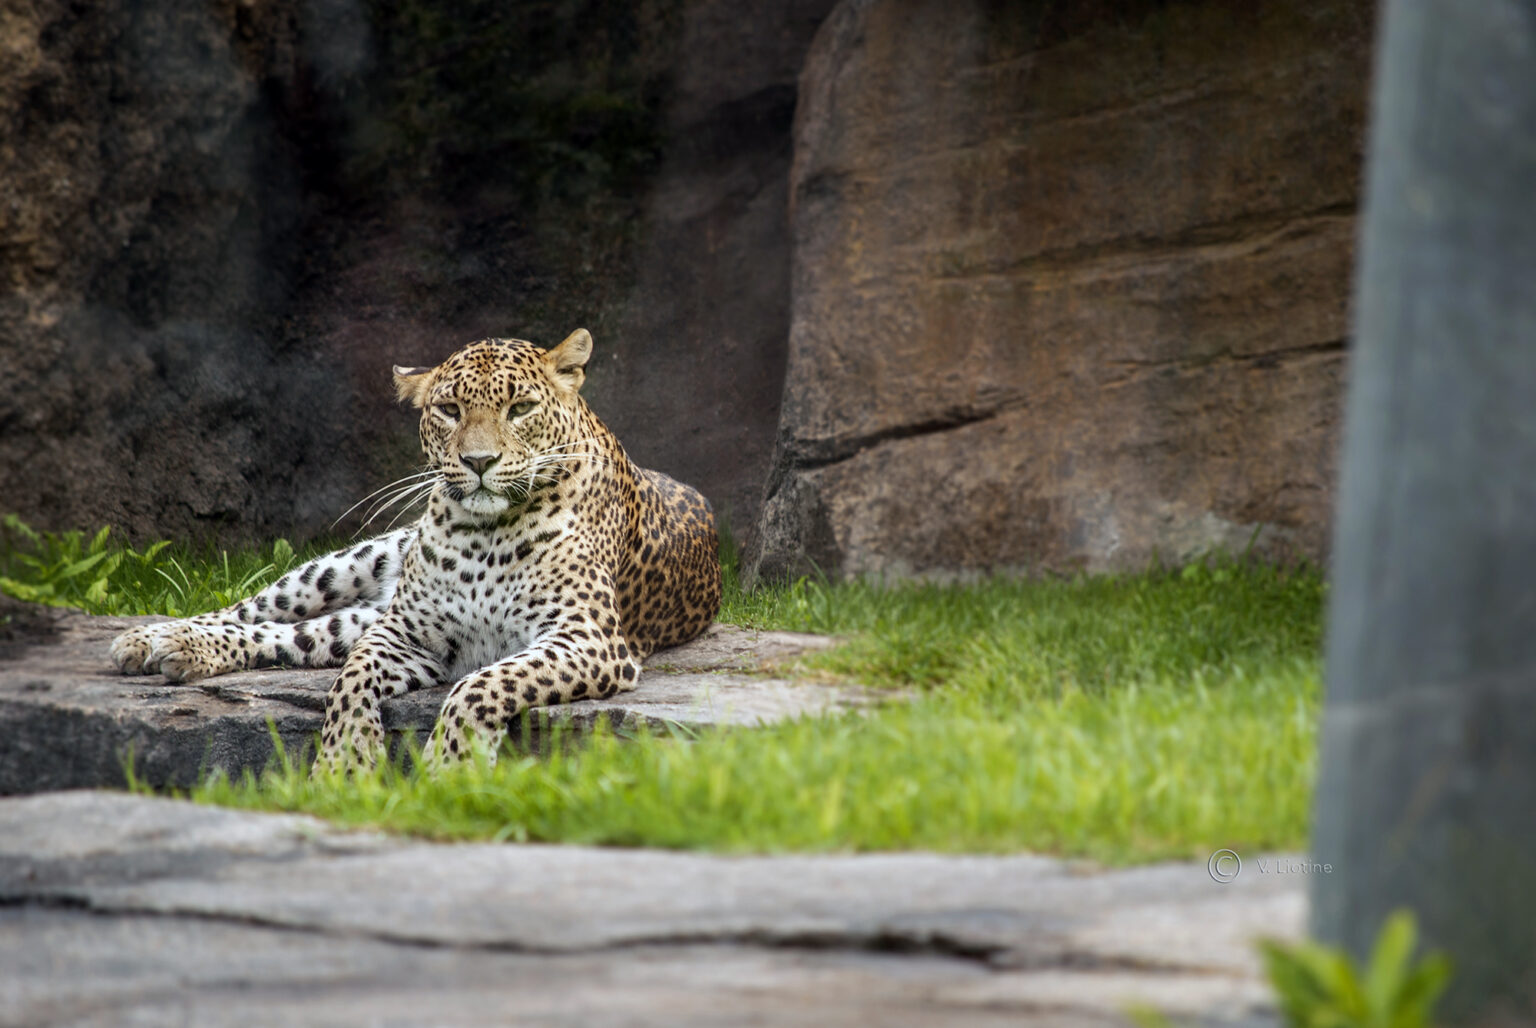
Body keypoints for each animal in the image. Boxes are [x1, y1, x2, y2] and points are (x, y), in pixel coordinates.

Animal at [111, 329, 721, 771]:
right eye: (449, 410)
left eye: (520, 408)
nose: (479, 461)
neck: (487, 536)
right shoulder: (406, 632)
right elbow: (351, 679)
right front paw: (345, 762)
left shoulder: (588, 640)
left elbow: (481, 684)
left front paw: (453, 767)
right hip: (348, 568)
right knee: (251, 611)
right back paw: (154, 639)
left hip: (360, 609)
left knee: (289, 639)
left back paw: (175, 650)